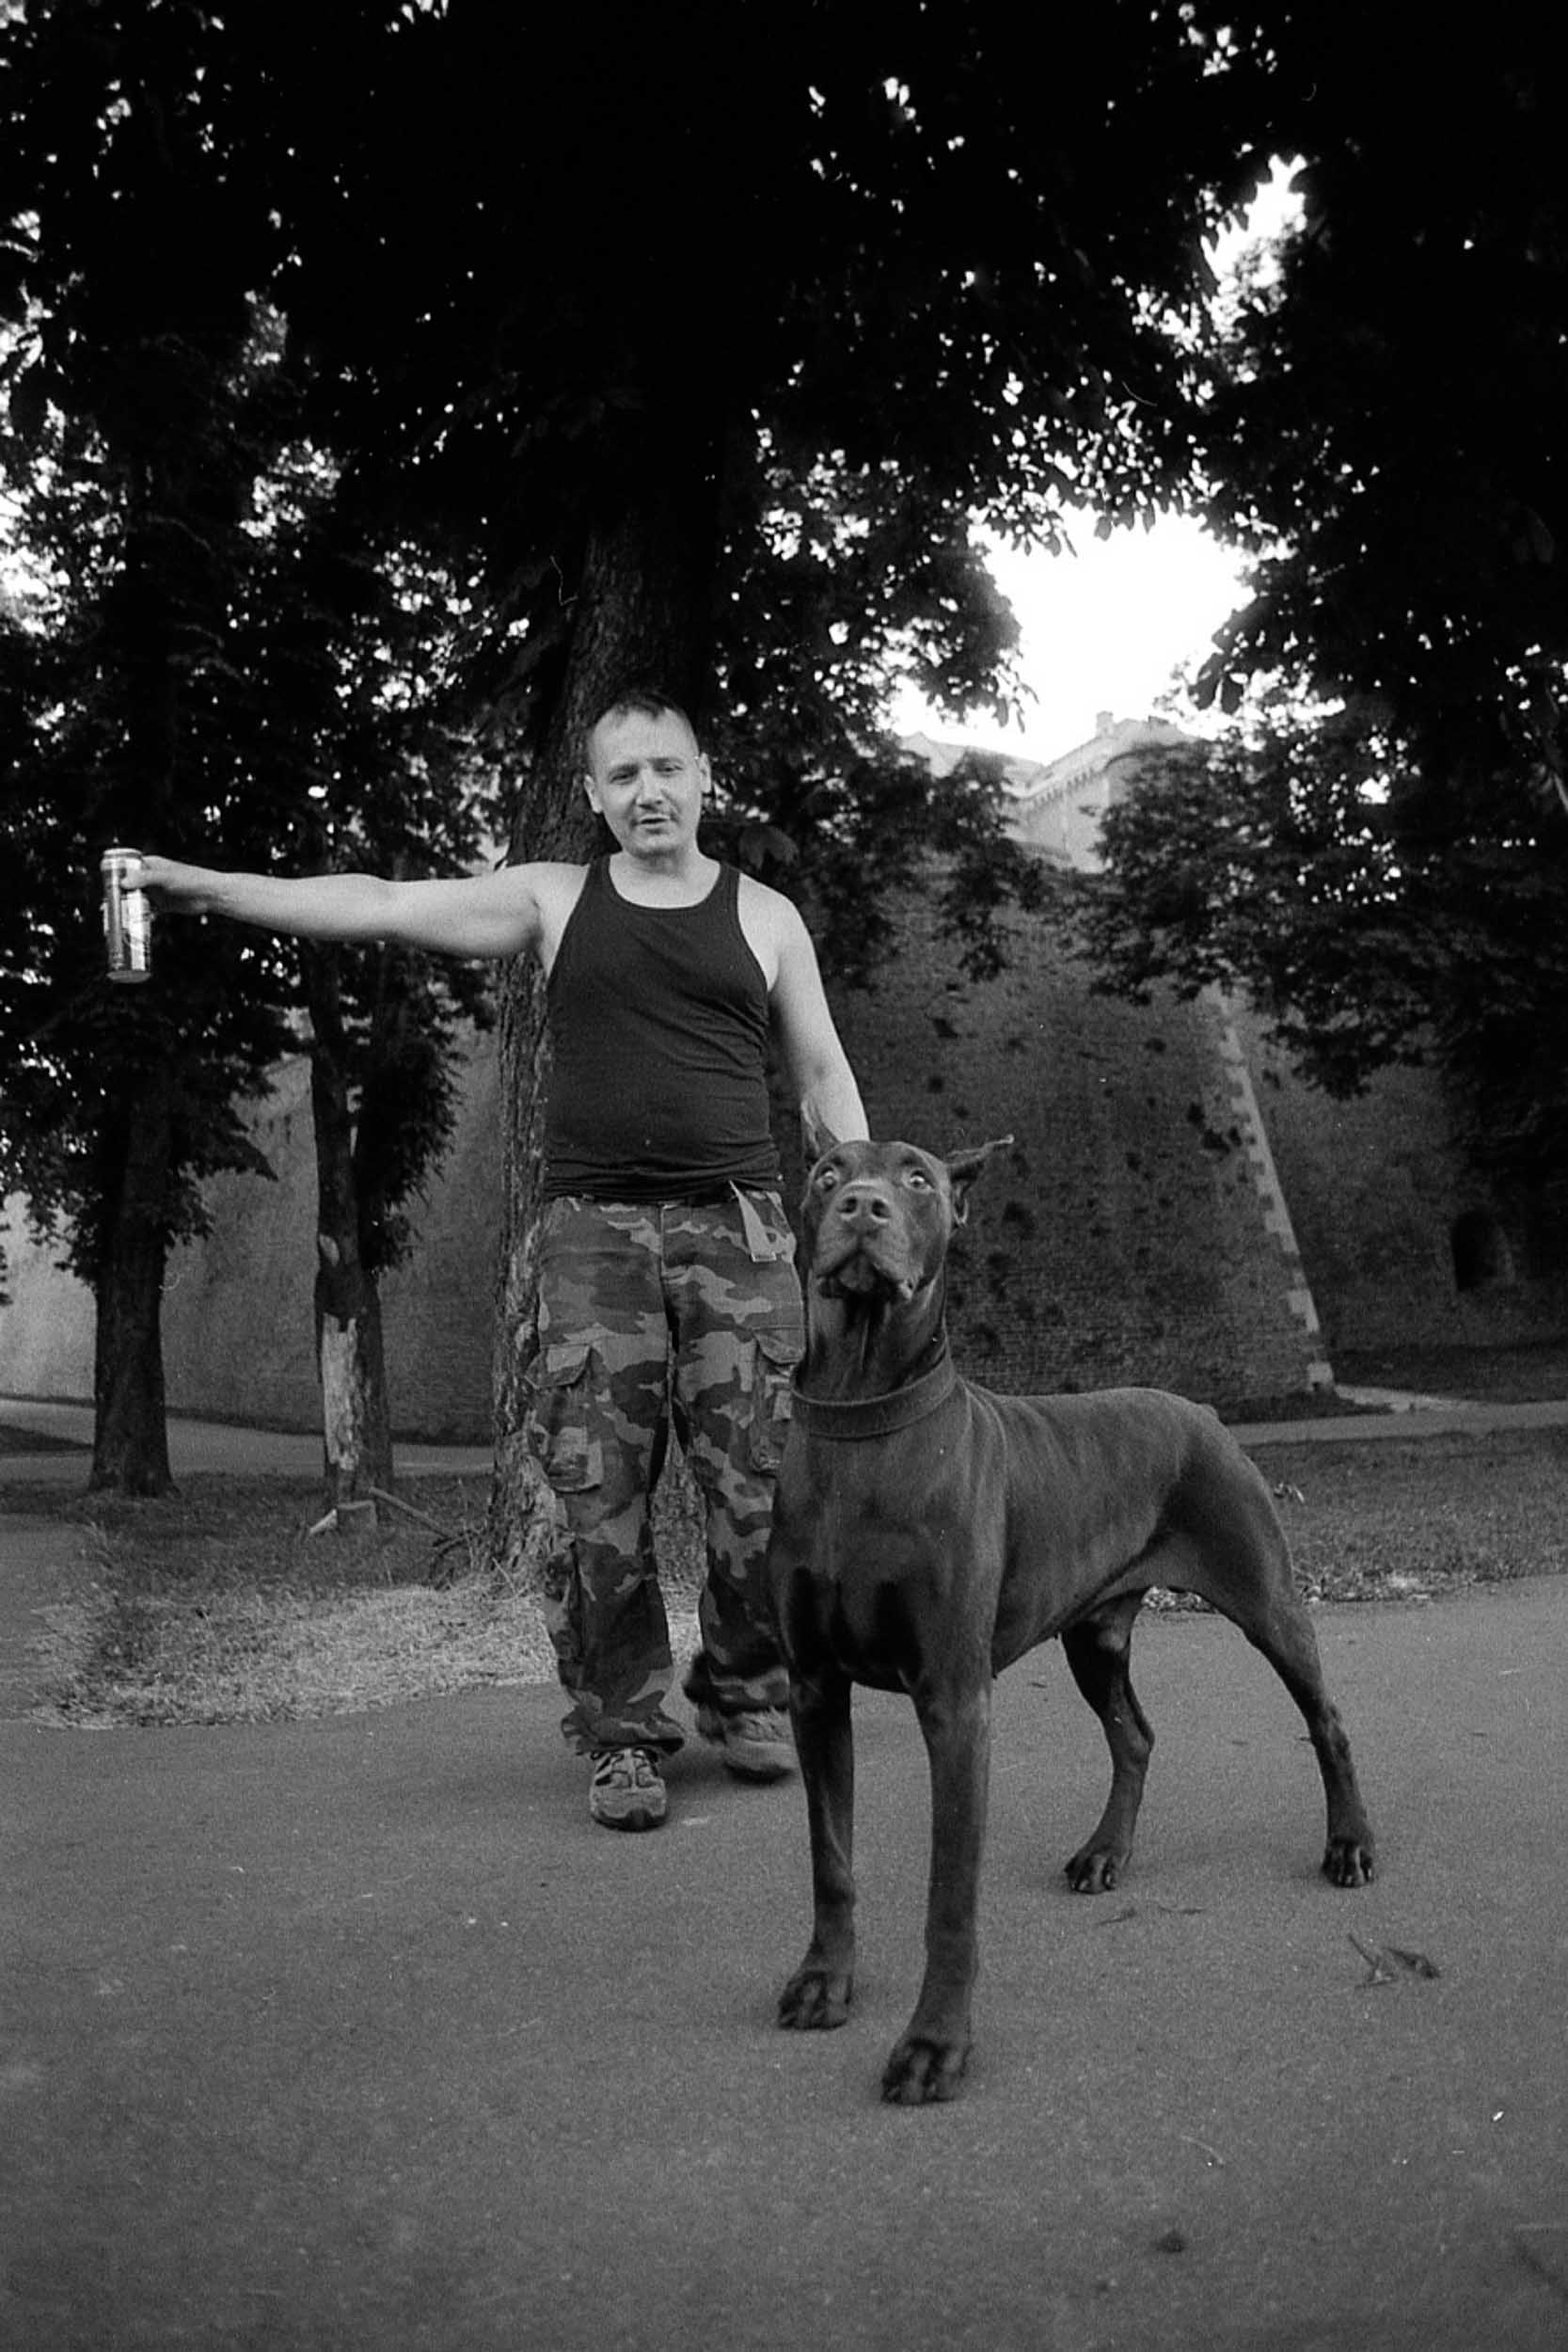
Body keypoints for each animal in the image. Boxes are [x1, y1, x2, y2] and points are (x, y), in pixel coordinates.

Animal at [770, 1129, 1372, 2107]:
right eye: (827, 1174)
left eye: (918, 1180)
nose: (862, 1207)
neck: (863, 1423)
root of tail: (1200, 1407)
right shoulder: (814, 1689)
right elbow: (831, 1858)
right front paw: (825, 1980)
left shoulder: (955, 1702)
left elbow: (948, 1898)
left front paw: (934, 2044)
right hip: (1094, 1634)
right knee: (1134, 1735)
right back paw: (1105, 1853)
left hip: (1267, 1597)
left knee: (1326, 1717)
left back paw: (1350, 1844)